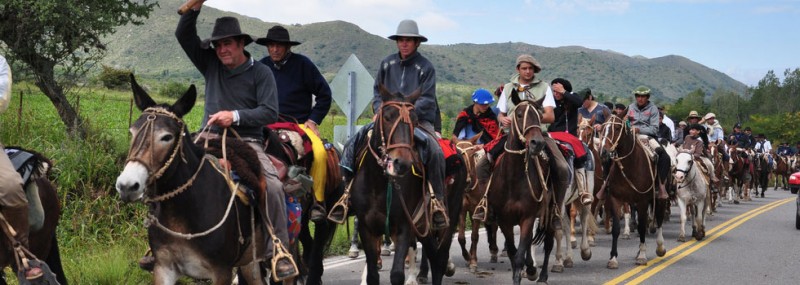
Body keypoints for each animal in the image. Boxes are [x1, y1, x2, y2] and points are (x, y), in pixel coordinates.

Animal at [114, 75, 274, 284]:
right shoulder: (163, 267)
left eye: (166, 137)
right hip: (250, 262)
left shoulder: (222, 271)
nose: (126, 186)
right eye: (132, 132)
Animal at [454, 134, 496, 272]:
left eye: (472, 153)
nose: (465, 179)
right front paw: (467, 257)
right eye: (457, 155)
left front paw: (473, 261)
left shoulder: (477, 210)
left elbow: (474, 236)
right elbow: (461, 237)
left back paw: (494, 252)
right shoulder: (462, 211)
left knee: (493, 227)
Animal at [482, 96, 556, 282]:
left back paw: (542, 275)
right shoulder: (504, 220)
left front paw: (529, 270)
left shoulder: (527, 217)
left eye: (540, 115)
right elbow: (513, 252)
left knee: (549, 243)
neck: (513, 179)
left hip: (551, 213)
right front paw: (527, 269)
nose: (537, 143)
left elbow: (519, 255)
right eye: (520, 114)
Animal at [600, 114, 668, 268]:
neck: (630, 164)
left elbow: (642, 226)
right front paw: (613, 258)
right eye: (602, 128)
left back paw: (660, 247)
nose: (604, 152)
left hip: (660, 197)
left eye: (617, 128)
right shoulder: (616, 198)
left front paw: (642, 256)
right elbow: (616, 229)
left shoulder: (642, 201)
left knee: (659, 219)